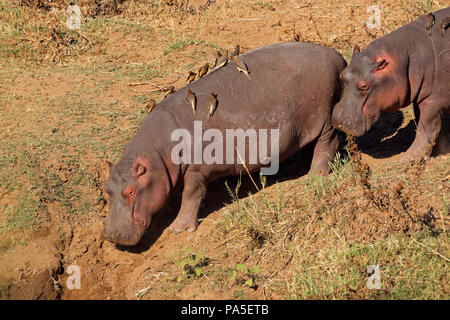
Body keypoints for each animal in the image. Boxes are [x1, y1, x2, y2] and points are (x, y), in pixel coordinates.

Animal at [103, 42, 346, 246]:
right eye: (107, 190)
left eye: (130, 191)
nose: (112, 234)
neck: (156, 155)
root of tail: (337, 57)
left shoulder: (197, 170)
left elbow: (190, 194)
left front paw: (177, 229)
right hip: (302, 124)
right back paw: (292, 170)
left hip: (325, 117)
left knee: (327, 142)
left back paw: (314, 176)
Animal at [332, 6, 450, 158]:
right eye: (342, 75)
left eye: (364, 85)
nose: (338, 120)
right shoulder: (421, 98)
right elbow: (433, 127)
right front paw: (442, 152)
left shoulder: (433, 100)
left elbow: (427, 128)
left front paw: (406, 158)